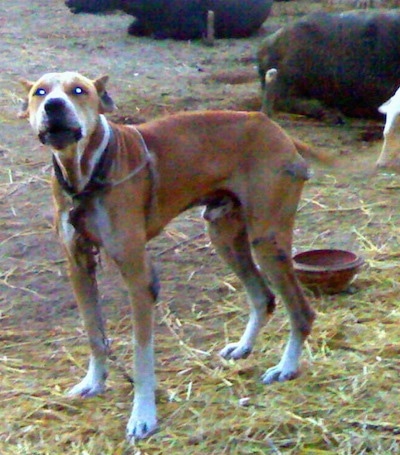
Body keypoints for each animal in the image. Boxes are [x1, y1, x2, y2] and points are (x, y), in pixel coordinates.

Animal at [20, 72, 318, 442]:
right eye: (39, 92)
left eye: (79, 90)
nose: (54, 106)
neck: (86, 174)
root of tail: (269, 122)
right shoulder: (79, 268)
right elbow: (94, 333)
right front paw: (93, 382)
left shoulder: (139, 278)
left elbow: (141, 355)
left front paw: (143, 415)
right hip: (224, 236)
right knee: (263, 297)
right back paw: (242, 348)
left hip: (267, 241)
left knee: (301, 311)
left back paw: (286, 368)